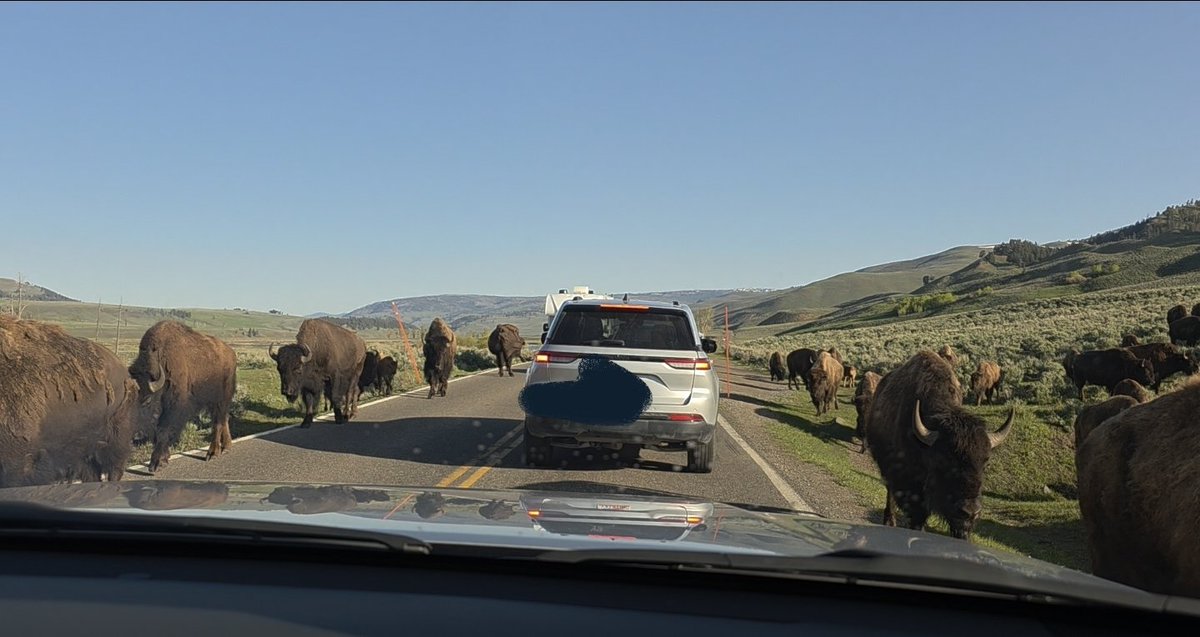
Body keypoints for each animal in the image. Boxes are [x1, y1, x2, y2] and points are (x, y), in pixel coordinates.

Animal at [129, 320, 237, 472]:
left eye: (148, 400)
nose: (136, 433)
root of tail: (231, 353)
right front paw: (164, 458)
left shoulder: (175, 405)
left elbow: (163, 429)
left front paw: (156, 463)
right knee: (223, 419)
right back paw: (226, 447)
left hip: (221, 398)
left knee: (218, 422)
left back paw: (213, 453)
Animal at [865, 351, 1014, 540]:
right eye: (944, 460)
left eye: (985, 462)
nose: (970, 512)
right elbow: (916, 515)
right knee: (889, 492)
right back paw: (889, 521)